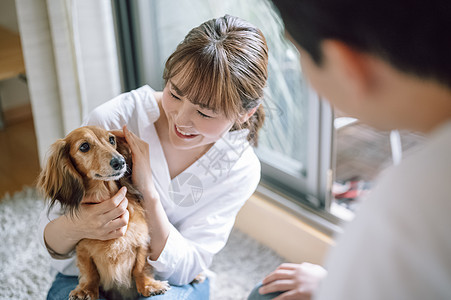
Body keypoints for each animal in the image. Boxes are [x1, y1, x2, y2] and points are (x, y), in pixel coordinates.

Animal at [37, 126, 170, 300]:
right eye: (84, 146)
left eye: (111, 139)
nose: (120, 162)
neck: (105, 195)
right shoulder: (83, 248)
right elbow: (90, 271)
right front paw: (86, 290)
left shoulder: (141, 239)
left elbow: (140, 266)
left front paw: (149, 285)